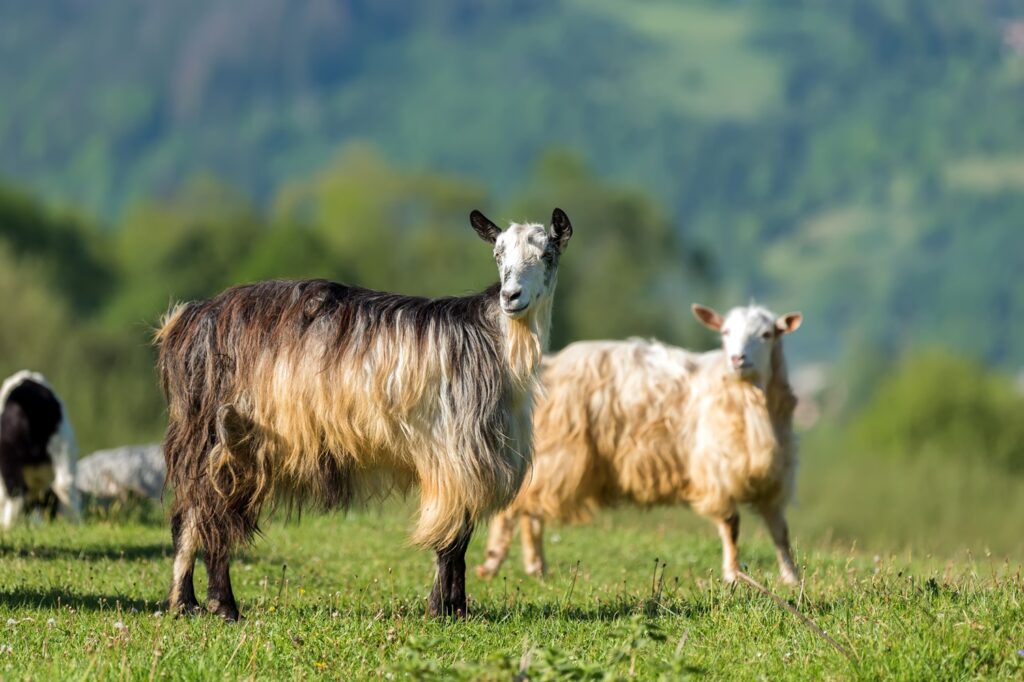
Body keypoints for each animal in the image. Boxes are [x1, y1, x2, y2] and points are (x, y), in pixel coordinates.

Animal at [160, 205, 577, 614]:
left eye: (547, 253)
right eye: (498, 254)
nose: (511, 296)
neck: (495, 344)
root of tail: (188, 320)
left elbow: (461, 536)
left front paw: (457, 608)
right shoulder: (453, 454)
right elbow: (450, 542)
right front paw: (442, 609)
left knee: (194, 514)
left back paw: (189, 603)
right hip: (216, 435)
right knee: (206, 512)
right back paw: (220, 605)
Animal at [475, 303, 802, 585]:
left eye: (767, 334)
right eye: (725, 332)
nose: (737, 360)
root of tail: (547, 367)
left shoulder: (775, 478)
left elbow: (781, 531)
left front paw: (791, 577)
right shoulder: (715, 471)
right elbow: (731, 525)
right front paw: (734, 575)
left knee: (531, 511)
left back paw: (536, 567)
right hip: (556, 455)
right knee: (516, 508)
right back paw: (494, 563)